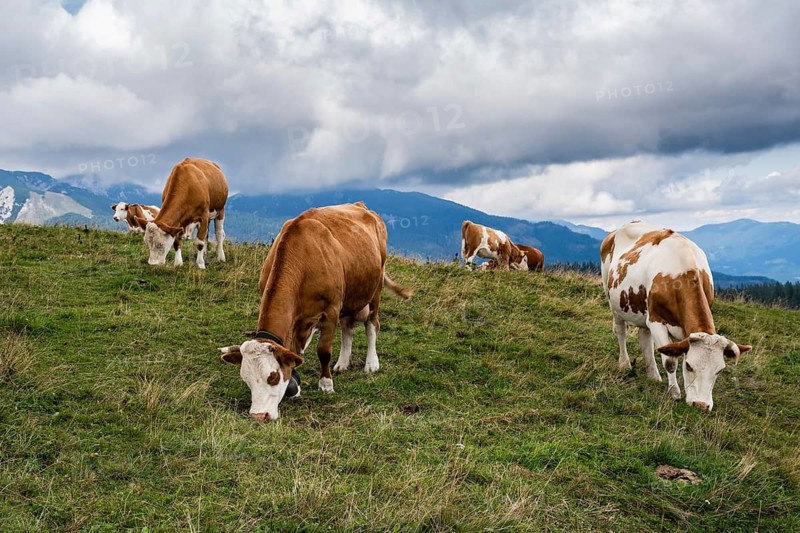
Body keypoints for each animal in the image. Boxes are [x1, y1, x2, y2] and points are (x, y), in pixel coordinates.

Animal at [219, 202, 412, 421]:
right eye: (246, 379)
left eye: (273, 377)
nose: (259, 415)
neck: (302, 259)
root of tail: (361, 206)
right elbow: (292, 353)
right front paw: (295, 386)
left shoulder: (331, 310)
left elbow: (323, 351)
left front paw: (326, 384)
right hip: (349, 297)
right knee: (348, 328)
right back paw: (343, 363)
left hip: (375, 289)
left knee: (372, 324)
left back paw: (371, 363)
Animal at [601, 221, 751, 412]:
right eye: (689, 366)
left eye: (720, 370)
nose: (701, 405)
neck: (682, 272)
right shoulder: (656, 320)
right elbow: (670, 361)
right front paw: (674, 392)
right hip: (611, 296)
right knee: (621, 331)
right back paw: (624, 363)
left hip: (643, 311)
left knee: (644, 338)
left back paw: (653, 374)